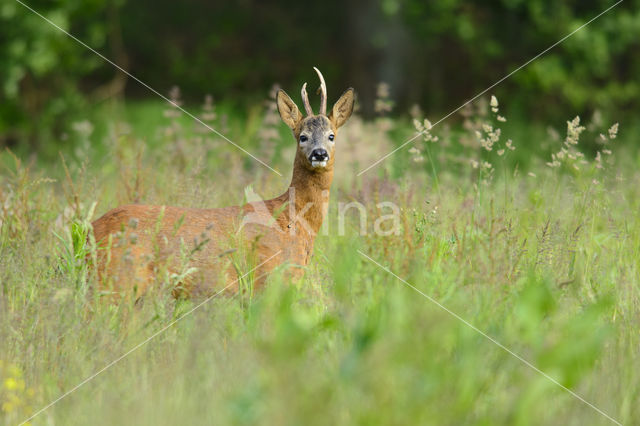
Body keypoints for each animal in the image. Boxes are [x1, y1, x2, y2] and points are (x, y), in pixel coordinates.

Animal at [91, 67, 356, 300]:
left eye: (331, 135)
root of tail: (91, 229)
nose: (319, 154)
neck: (292, 220)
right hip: (119, 279)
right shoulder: (266, 279)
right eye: (303, 137)